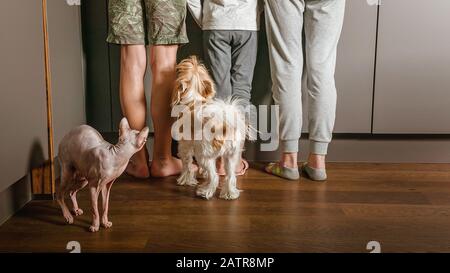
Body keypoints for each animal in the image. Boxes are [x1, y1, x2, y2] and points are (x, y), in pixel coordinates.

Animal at [171, 55, 248, 200]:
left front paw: (185, 180)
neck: (193, 97)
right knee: (230, 176)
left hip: (203, 154)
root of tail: (224, 124)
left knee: (215, 176)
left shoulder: (185, 145)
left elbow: (186, 164)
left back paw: (205, 192)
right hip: (231, 156)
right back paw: (229, 193)